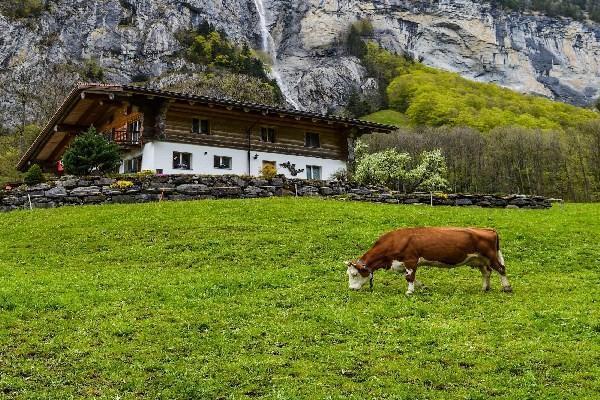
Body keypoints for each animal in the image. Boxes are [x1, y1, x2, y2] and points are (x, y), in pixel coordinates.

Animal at [346, 228, 510, 294]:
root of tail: (488, 230)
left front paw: (409, 291)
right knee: (487, 272)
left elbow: (409, 277)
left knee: (501, 269)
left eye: (354, 274)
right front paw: (423, 287)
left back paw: (507, 287)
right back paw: (485, 288)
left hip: (491, 256)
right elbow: (413, 278)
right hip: (480, 260)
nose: (351, 289)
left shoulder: (411, 260)